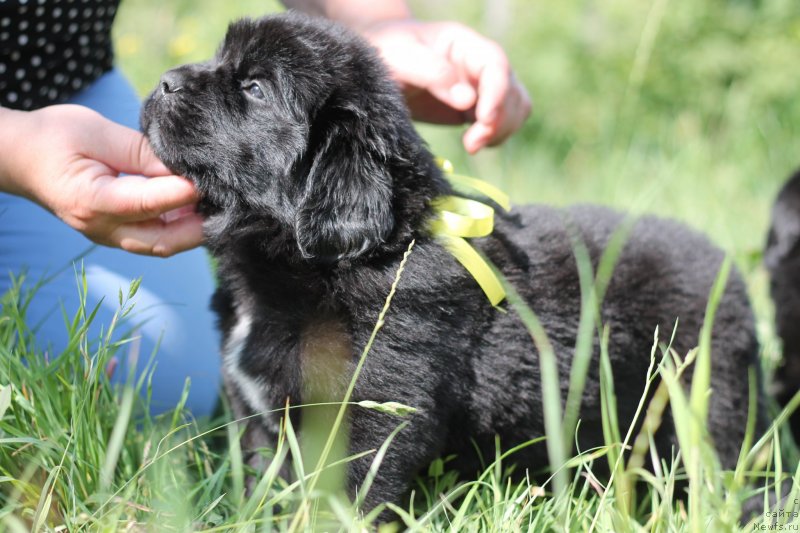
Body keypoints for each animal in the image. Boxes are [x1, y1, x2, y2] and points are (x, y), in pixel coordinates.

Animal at [144, 13, 768, 512]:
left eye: (254, 87)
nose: (162, 82)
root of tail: (730, 271)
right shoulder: (259, 418)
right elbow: (263, 480)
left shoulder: (373, 409)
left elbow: (349, 492)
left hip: (706, 406)